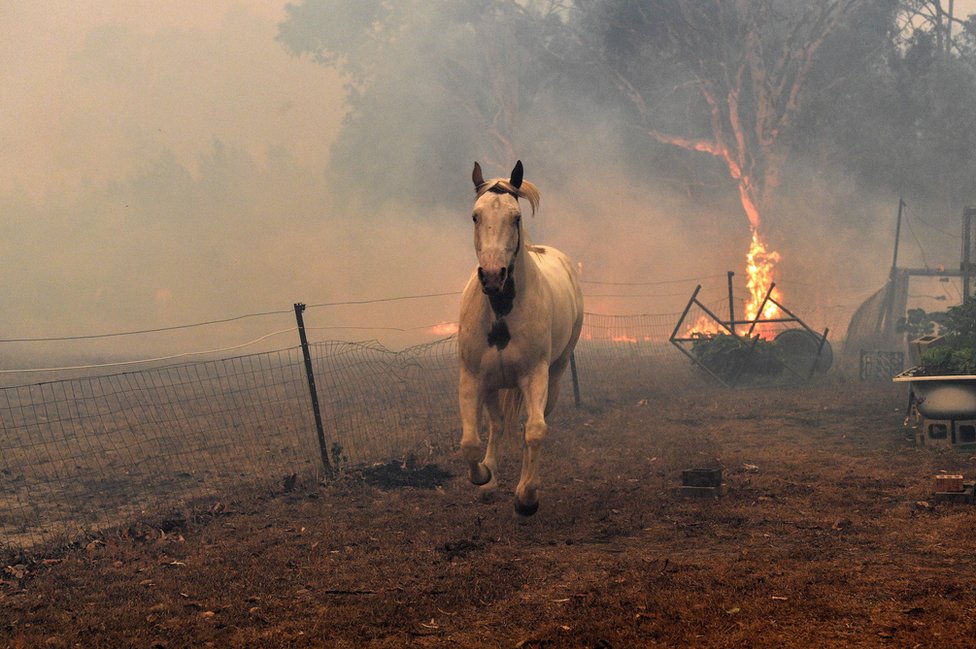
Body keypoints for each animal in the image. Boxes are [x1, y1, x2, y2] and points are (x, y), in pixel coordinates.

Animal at [456, 159, 580, 512]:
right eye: (475, 215)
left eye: (516, 218)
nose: (493, 276)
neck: (501, 312)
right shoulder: (473, 377)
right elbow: (470, 442)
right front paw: (483, 476)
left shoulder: (534, 375)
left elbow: (534, 432)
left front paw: (527, 498)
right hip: (493, 383)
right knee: (497, 425)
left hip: (555, 373)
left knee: (530, 427)